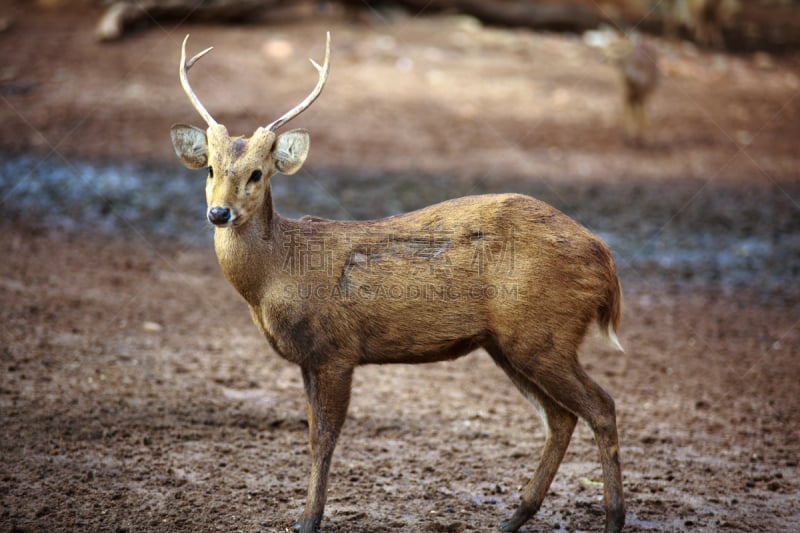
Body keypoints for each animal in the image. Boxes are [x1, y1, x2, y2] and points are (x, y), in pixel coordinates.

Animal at [169, 33, 628, 532]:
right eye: (210, 170)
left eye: (257, 173)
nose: (219, 213)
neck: (278, 274)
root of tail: (605, 259)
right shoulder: (309, 358)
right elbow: (313, 435)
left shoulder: (336, 349)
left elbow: (323, 439)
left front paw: (308, 520)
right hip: (509, 342)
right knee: (561, 417)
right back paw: (513, 517)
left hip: (543, 331)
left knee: (601, 406)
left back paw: (612, 518)